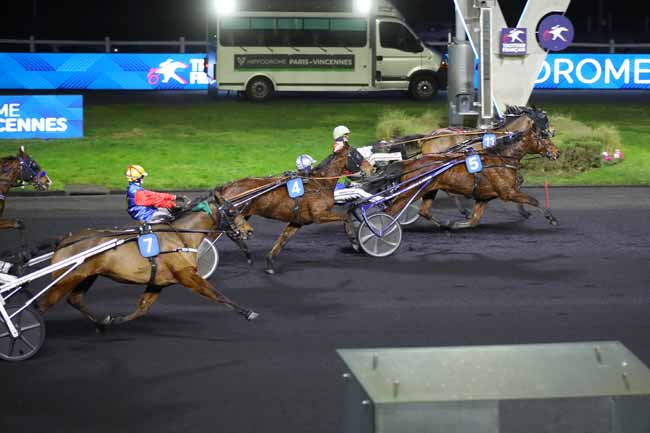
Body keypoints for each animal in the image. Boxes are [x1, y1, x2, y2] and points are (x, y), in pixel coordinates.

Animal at [36, 195, 256, 330]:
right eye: (232, 211)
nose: (249, 230)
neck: (180, 236)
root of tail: (64, 240)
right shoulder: (187, 275)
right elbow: (215, 294)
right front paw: (248, 312)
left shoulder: (158, 282)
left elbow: (142, 308)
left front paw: (114, 320)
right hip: (65, 279)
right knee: (41, 305)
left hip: (87, 275)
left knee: (75, 299)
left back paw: (100, 324)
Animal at [216, 143, 372, 276]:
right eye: (358, 155)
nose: (372, 168)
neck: (319, 183)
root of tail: (226, 187)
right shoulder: (319, 216)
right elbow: (345, 216)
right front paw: (354, 242)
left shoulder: (297, 222)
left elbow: (283, 240)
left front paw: (270, 263)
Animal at [382, 120, 560, 230]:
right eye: (543, 137)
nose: (557, 152)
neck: (500, 157)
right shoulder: (508, 193)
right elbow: (533, 200)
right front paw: (549, 217)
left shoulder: (484, 197)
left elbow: (474, 220)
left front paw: (455, 224)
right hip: (411, 191)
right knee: (390, 211)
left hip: (428, 190)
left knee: (424, 211)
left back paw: (445, 224)